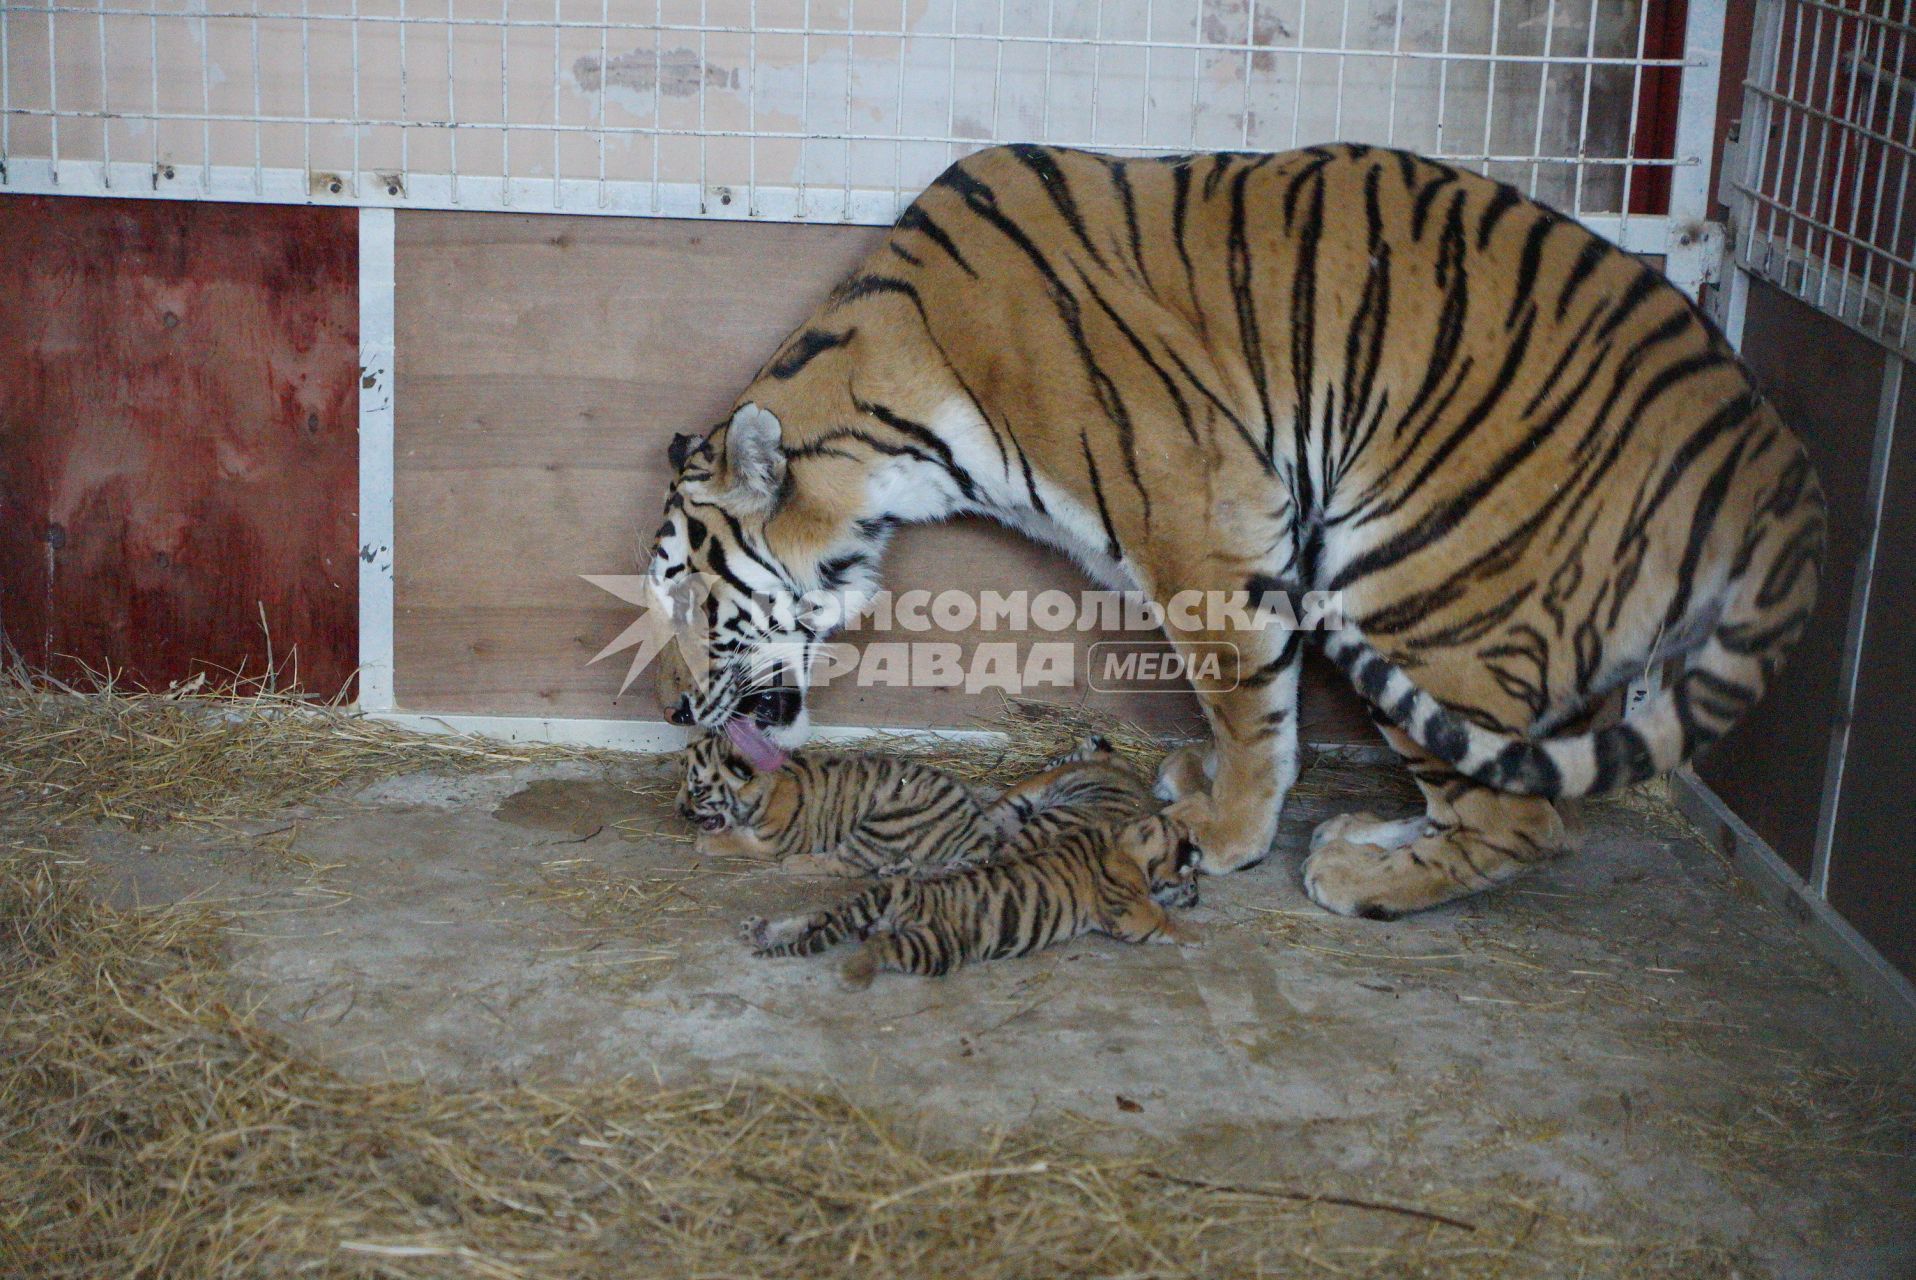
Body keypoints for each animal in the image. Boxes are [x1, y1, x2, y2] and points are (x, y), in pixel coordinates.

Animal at [643, 139, 1824, 919]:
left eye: (689, 596)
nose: (666, 710)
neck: (890, 420)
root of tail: (1774, 465)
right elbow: (1242, 700)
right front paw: (1205, 789)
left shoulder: (1202, 515)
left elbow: (1244, 694)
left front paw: (1226, 833)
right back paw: (1370, 838)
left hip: (1416, 582)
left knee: (1523, 819)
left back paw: (1355, 875)